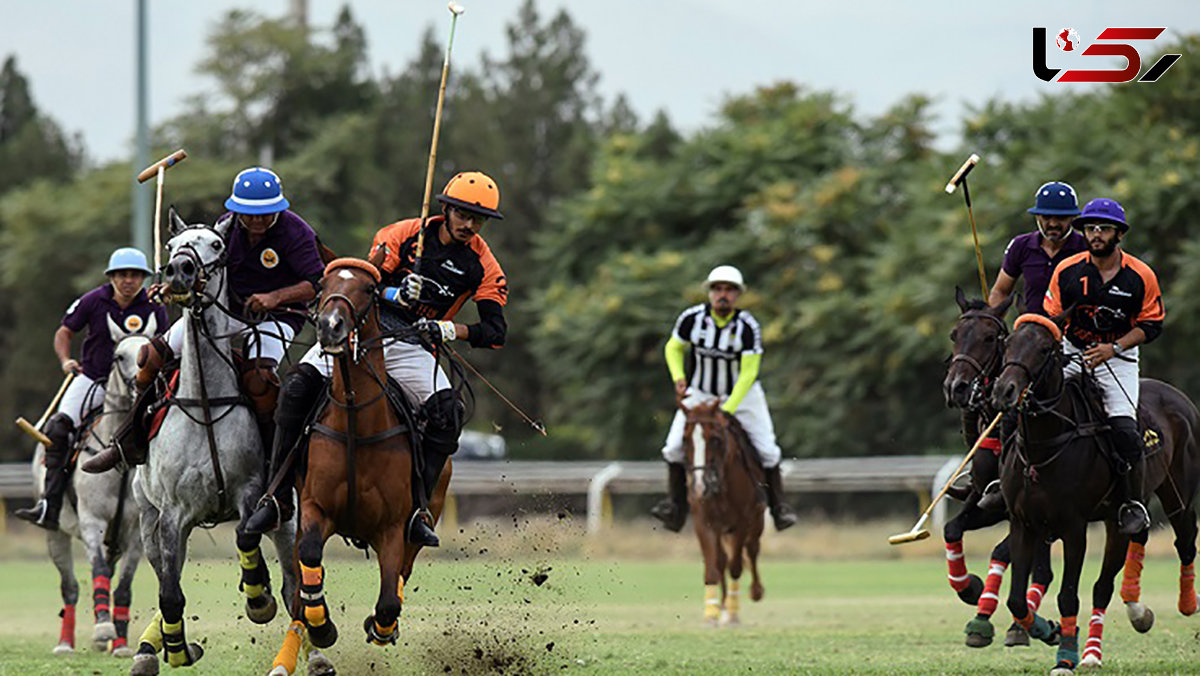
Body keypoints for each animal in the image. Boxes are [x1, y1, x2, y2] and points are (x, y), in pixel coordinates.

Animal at [31, 314, 153, 657]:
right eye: (119, 356)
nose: (140, 388)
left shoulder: (135, 531)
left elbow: (123, 586)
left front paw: (121, 644)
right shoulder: (92, 520)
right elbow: (97, 570)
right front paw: (102, 629)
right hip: (55, 533)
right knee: (69, 587)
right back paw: (65, 643)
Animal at [128, 208, 297, 672]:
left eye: (217, 245)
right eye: (171, 246)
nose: (180, 271)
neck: (205, 402)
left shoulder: (251, 493)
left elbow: (244, 539)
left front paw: (259, 599)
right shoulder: (171, 515)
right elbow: (170, 593)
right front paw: (178, 649)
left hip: (287, 517)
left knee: (296, 588)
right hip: (148, 521)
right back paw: (152, 649)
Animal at [270, 256, 451, 672]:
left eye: (368, 289)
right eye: (323, 285)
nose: (330, 326)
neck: (354, 417)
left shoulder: (392, 527)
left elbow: (387, 601)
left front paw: (381, 628)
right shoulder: (314, 509)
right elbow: (309, 561)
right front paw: (322, 626)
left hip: (428, 512)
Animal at [681, 393, 763, 629]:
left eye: (715, 439)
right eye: (685, 440)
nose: (700, 485)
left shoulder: (741, 522)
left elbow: (736, 566)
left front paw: (733, 614)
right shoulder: (703, 521)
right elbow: (713, 568)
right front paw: (711, 614)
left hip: (756, 521)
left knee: (752, 550)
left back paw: (754, 592)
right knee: (721, 560)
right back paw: (723, 607)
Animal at [993, 314, 1200, 672]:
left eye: (1045, 349)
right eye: (1007, 343)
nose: (1005, 390)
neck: (1045, 444)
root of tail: (1178, 395)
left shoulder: (1074, 527)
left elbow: (1068, 595)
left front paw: (1064, 658)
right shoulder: (1023, 523)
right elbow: (1016, 599)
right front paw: (1047, 630)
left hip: (1177, 498)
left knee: (1182, 543)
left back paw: (1182, 606)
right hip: (1118, 516)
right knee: (1128, 550)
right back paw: (1130, 617)